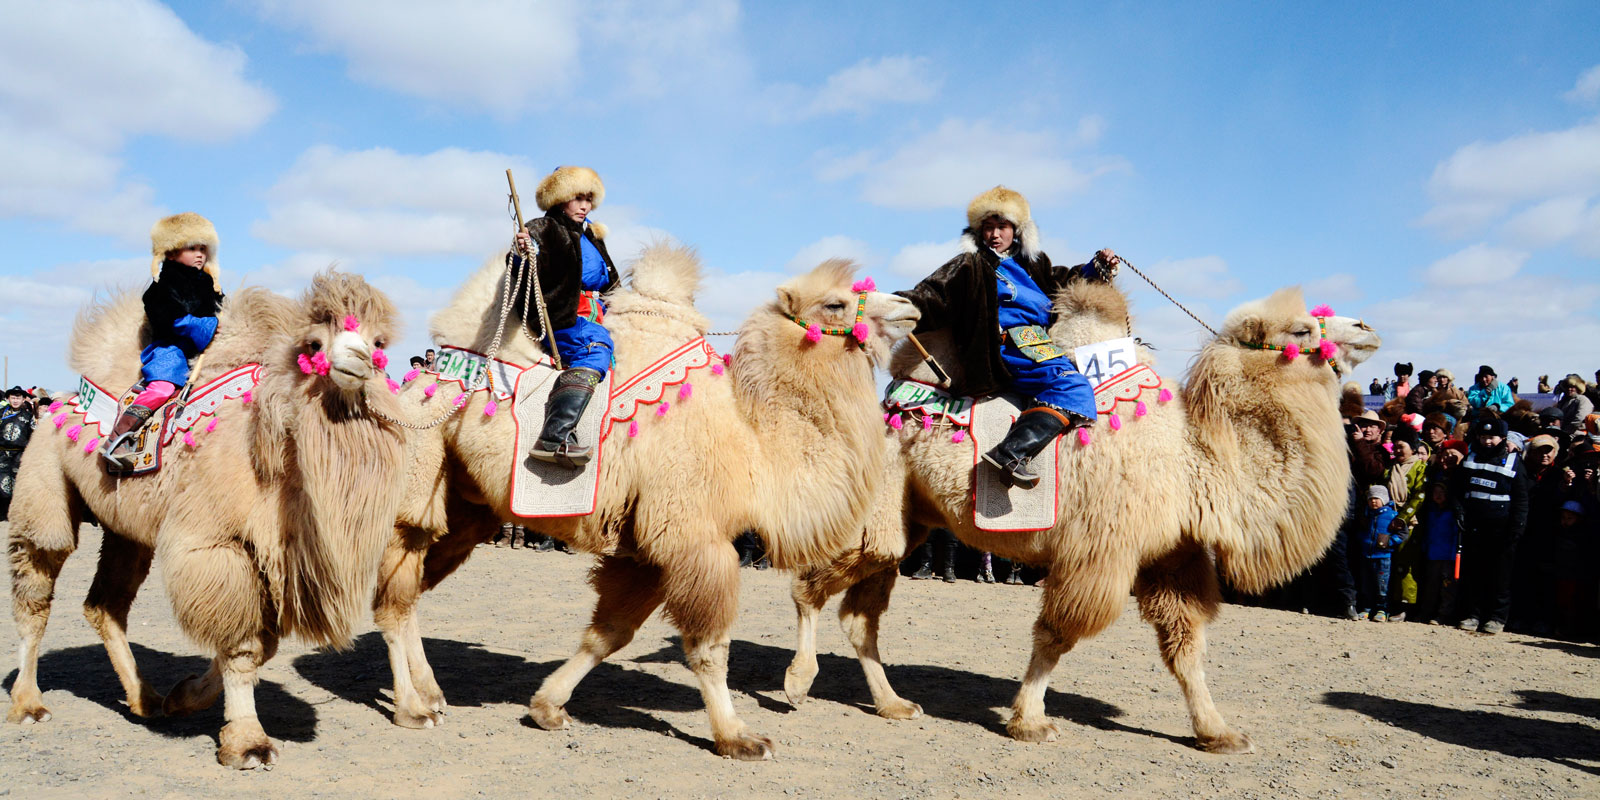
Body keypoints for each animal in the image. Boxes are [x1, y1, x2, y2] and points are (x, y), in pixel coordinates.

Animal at [7, 270, 406, 768]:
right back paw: (28, 704)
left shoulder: (274, 558)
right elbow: (244, 645)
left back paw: (146, 700)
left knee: (104, 605)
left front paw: (185, 698)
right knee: (37, 588)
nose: (358, 362)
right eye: (314, 343)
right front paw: (247, 743)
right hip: (42, 487)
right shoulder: (216, 544)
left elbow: (264, 644)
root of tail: (59, 402)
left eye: (378, 342)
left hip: (125, 532)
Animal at [374, 246, 921, 758]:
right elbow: (709, 646)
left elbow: (609, 633)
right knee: (394, 601)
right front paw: (737, 737)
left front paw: (548, 706)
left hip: (468, 509)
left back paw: (432, 692)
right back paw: (412, 709)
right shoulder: (695, 538)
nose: (909, 306)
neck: (753, 441)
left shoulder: (647, 551)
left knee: (413, 588)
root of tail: (426, 377)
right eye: (835, 303)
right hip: (418, 475)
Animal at [780, 278, 1382, 752]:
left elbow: (1186, 646)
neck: (1193, 457)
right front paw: (1030, 721)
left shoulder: (1172, 554)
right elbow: (1057, 635)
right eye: (1301, 331)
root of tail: (888, 405)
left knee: (860, 616)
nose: (1366, 326)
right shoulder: (1099, 549)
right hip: (876, 511)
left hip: (907, 523)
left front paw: (1219, 732)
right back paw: (796, 681)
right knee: (810, 586)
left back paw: (894, 704)